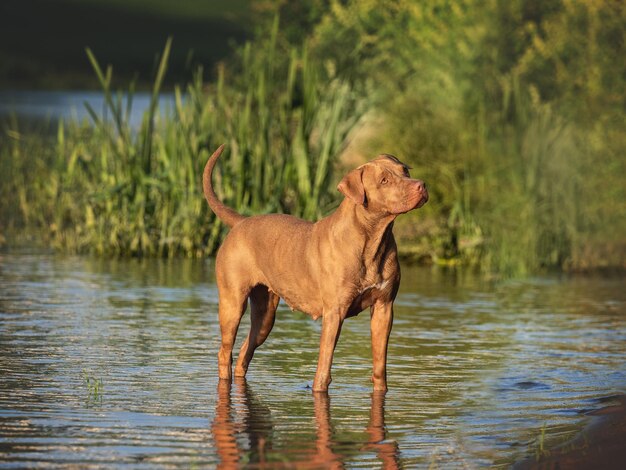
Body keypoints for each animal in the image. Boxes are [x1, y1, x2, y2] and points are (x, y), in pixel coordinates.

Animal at [202, 144, 426, 392]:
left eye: (405, 170)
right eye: (384, 180)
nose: (421, 185)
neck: (373, 240)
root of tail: (241, 222)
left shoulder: (384, 308)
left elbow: (380, 366)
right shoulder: (335, 312)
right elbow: (323, 367)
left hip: (264, 316)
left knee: (245, 351)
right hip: (232, 304)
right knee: (225, 352)